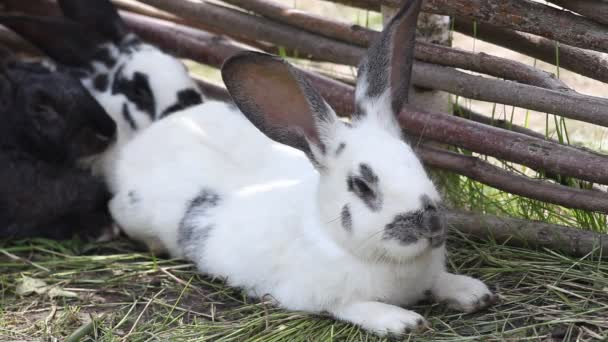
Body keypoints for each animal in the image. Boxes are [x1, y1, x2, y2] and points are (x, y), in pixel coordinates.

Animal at [111, 0, 496, 336]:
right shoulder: (316, 295)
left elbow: (441, 282)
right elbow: (352, 306)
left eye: (418, 164)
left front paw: (472, 292)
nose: (430, 223)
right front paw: (401, 321)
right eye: (362, 185)